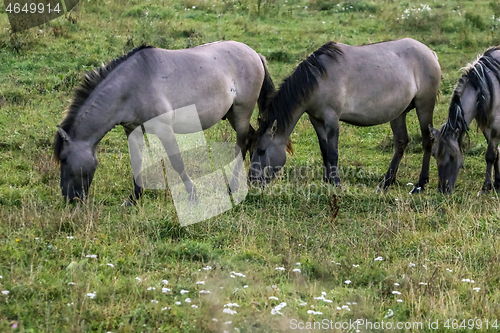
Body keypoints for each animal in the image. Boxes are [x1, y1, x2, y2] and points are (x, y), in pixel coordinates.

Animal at [248, 37, 440, 192]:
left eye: (261, 151)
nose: (252, 181)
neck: (319, 78)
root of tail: (430, 52)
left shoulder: (332, 119)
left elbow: (333, 152)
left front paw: (337, 184)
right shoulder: (316, 119)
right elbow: (324, 149)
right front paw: (327, 180)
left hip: (424, 105)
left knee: (427, 141)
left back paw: (420, 184)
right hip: (399, 112)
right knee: (401, 142)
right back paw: (385, 183)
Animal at [430, 45, 500, 193]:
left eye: (452, 156)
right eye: (433, 154)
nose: (442, 189)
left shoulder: (496, 125)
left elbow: (491, 155)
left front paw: (486, 186)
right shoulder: (487, 127)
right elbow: (497, 153)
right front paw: (497, 183)